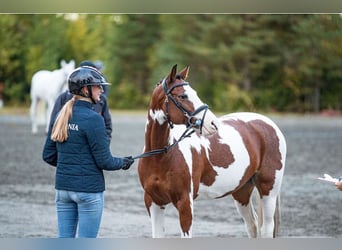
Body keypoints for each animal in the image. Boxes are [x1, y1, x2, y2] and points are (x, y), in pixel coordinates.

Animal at [137, 64, 286, 238]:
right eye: (183, 96)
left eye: (195, 93)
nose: (213, 123)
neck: (161, 157)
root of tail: (268, 123)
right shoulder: (154, 202)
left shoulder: (185, 203)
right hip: (242, 191)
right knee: (253, 227)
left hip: (269, 189)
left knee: (266, 229)